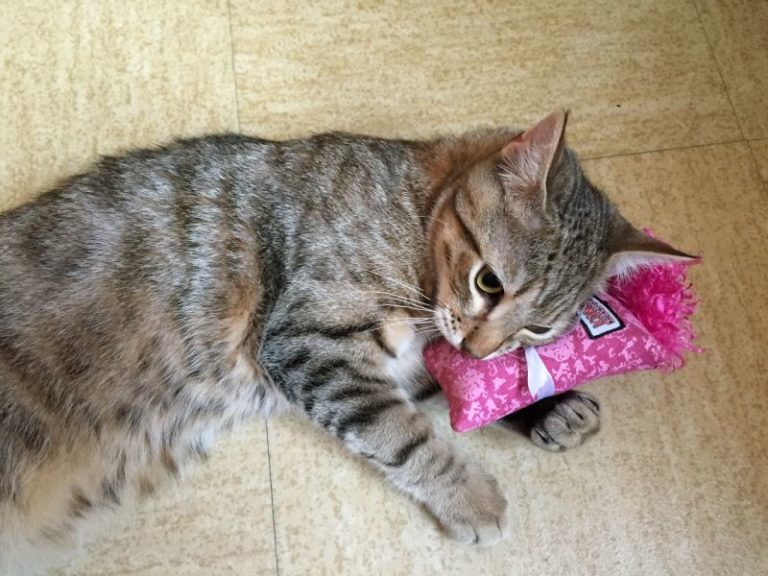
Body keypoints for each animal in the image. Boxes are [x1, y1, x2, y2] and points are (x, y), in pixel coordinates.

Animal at [0, 110, 688, 572]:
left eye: (540, 328)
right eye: (488, 281)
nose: (479, 349)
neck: (415, 215)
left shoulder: (403, 361)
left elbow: (450, 394)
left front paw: (547, 405)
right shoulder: (310, 343)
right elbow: (405, 436)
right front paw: (470, 496)